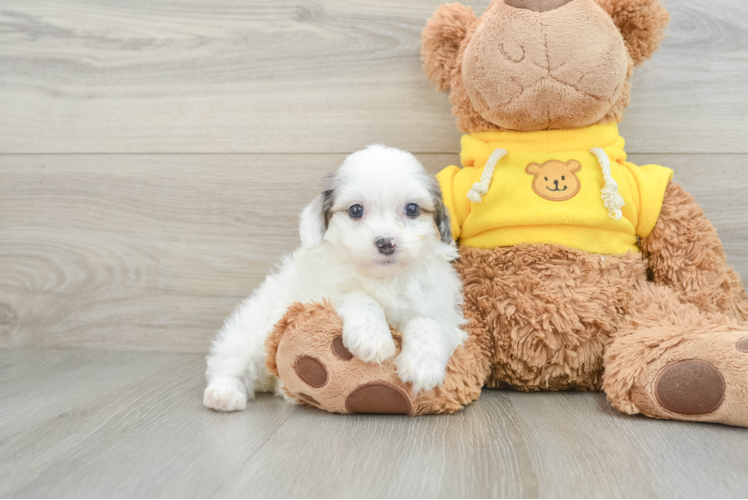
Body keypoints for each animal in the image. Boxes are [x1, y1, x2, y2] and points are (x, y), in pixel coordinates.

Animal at [202, 144, 464, 410]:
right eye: (356, 210)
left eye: (412, 209)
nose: (386, 243)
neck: (384, 278)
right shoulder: (321, 294)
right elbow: (358, 296)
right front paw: (372, 337)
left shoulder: (440, 308)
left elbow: (428, 323)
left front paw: (423, 366)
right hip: (251, 332)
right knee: (230, 362)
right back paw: (224, 393)